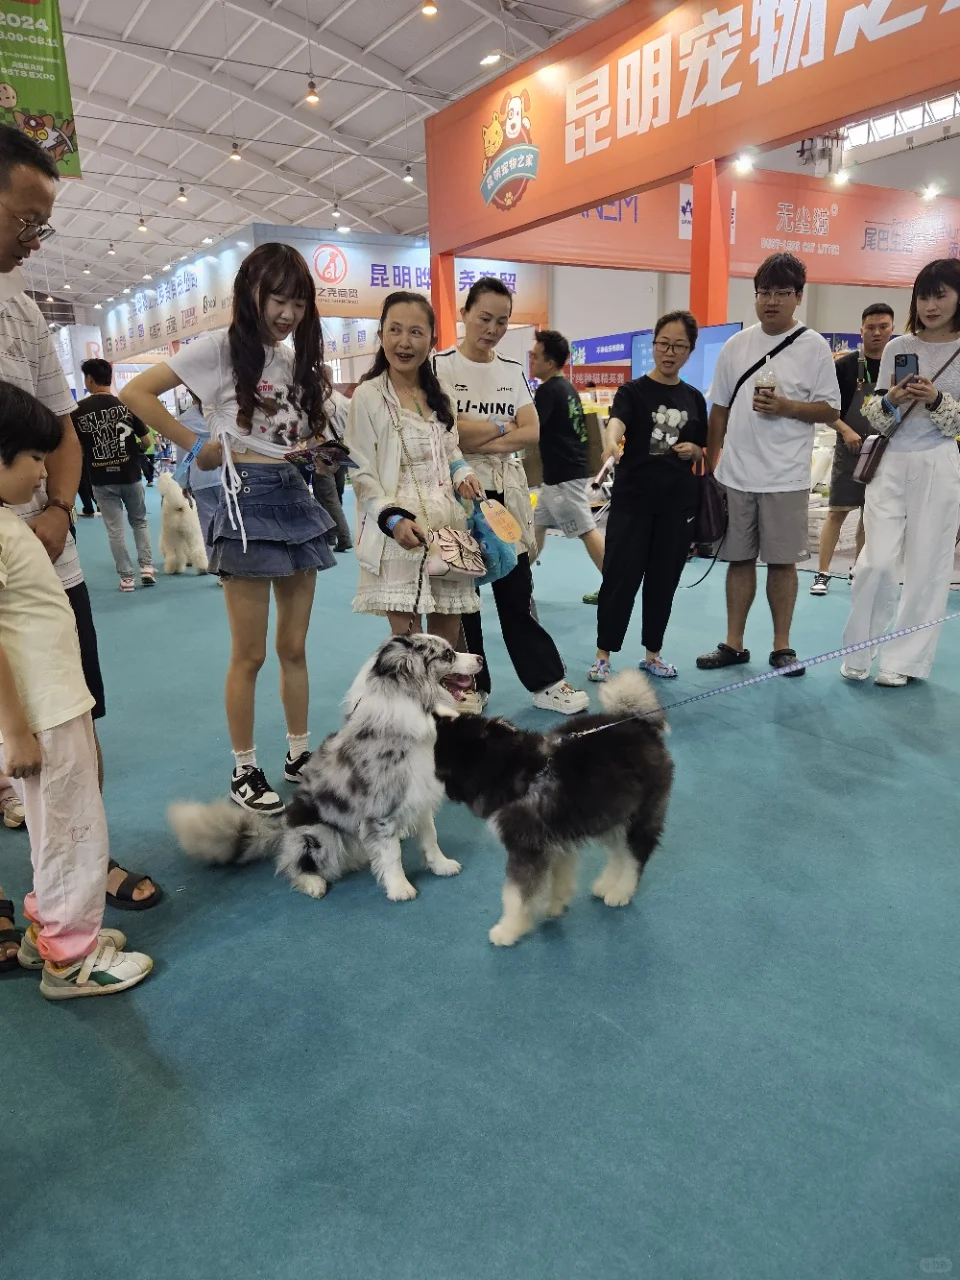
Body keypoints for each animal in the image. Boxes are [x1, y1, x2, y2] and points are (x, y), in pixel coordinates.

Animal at [168, 634, 483, 901]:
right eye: (448, 654)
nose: (480, 658)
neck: (415, 708)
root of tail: (283, 829)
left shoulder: (420, 795)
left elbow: (430, 837)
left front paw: (442, 866)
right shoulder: (380, 808)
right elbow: (391, 853)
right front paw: (400, 888)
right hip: (319, 835)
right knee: (293, 864)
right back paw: (312, 882)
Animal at [433, 670, 673, 946]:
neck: (513, 770)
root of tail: (642, 727)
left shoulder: (526, 848)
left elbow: (514, 894)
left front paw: (509, 929)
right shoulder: (556, 840)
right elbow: (560, 878)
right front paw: (556, 905)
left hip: (639, 818)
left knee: (635, 856)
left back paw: (621, 891)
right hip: (612, 815)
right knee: (618, 854)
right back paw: (606, 885)